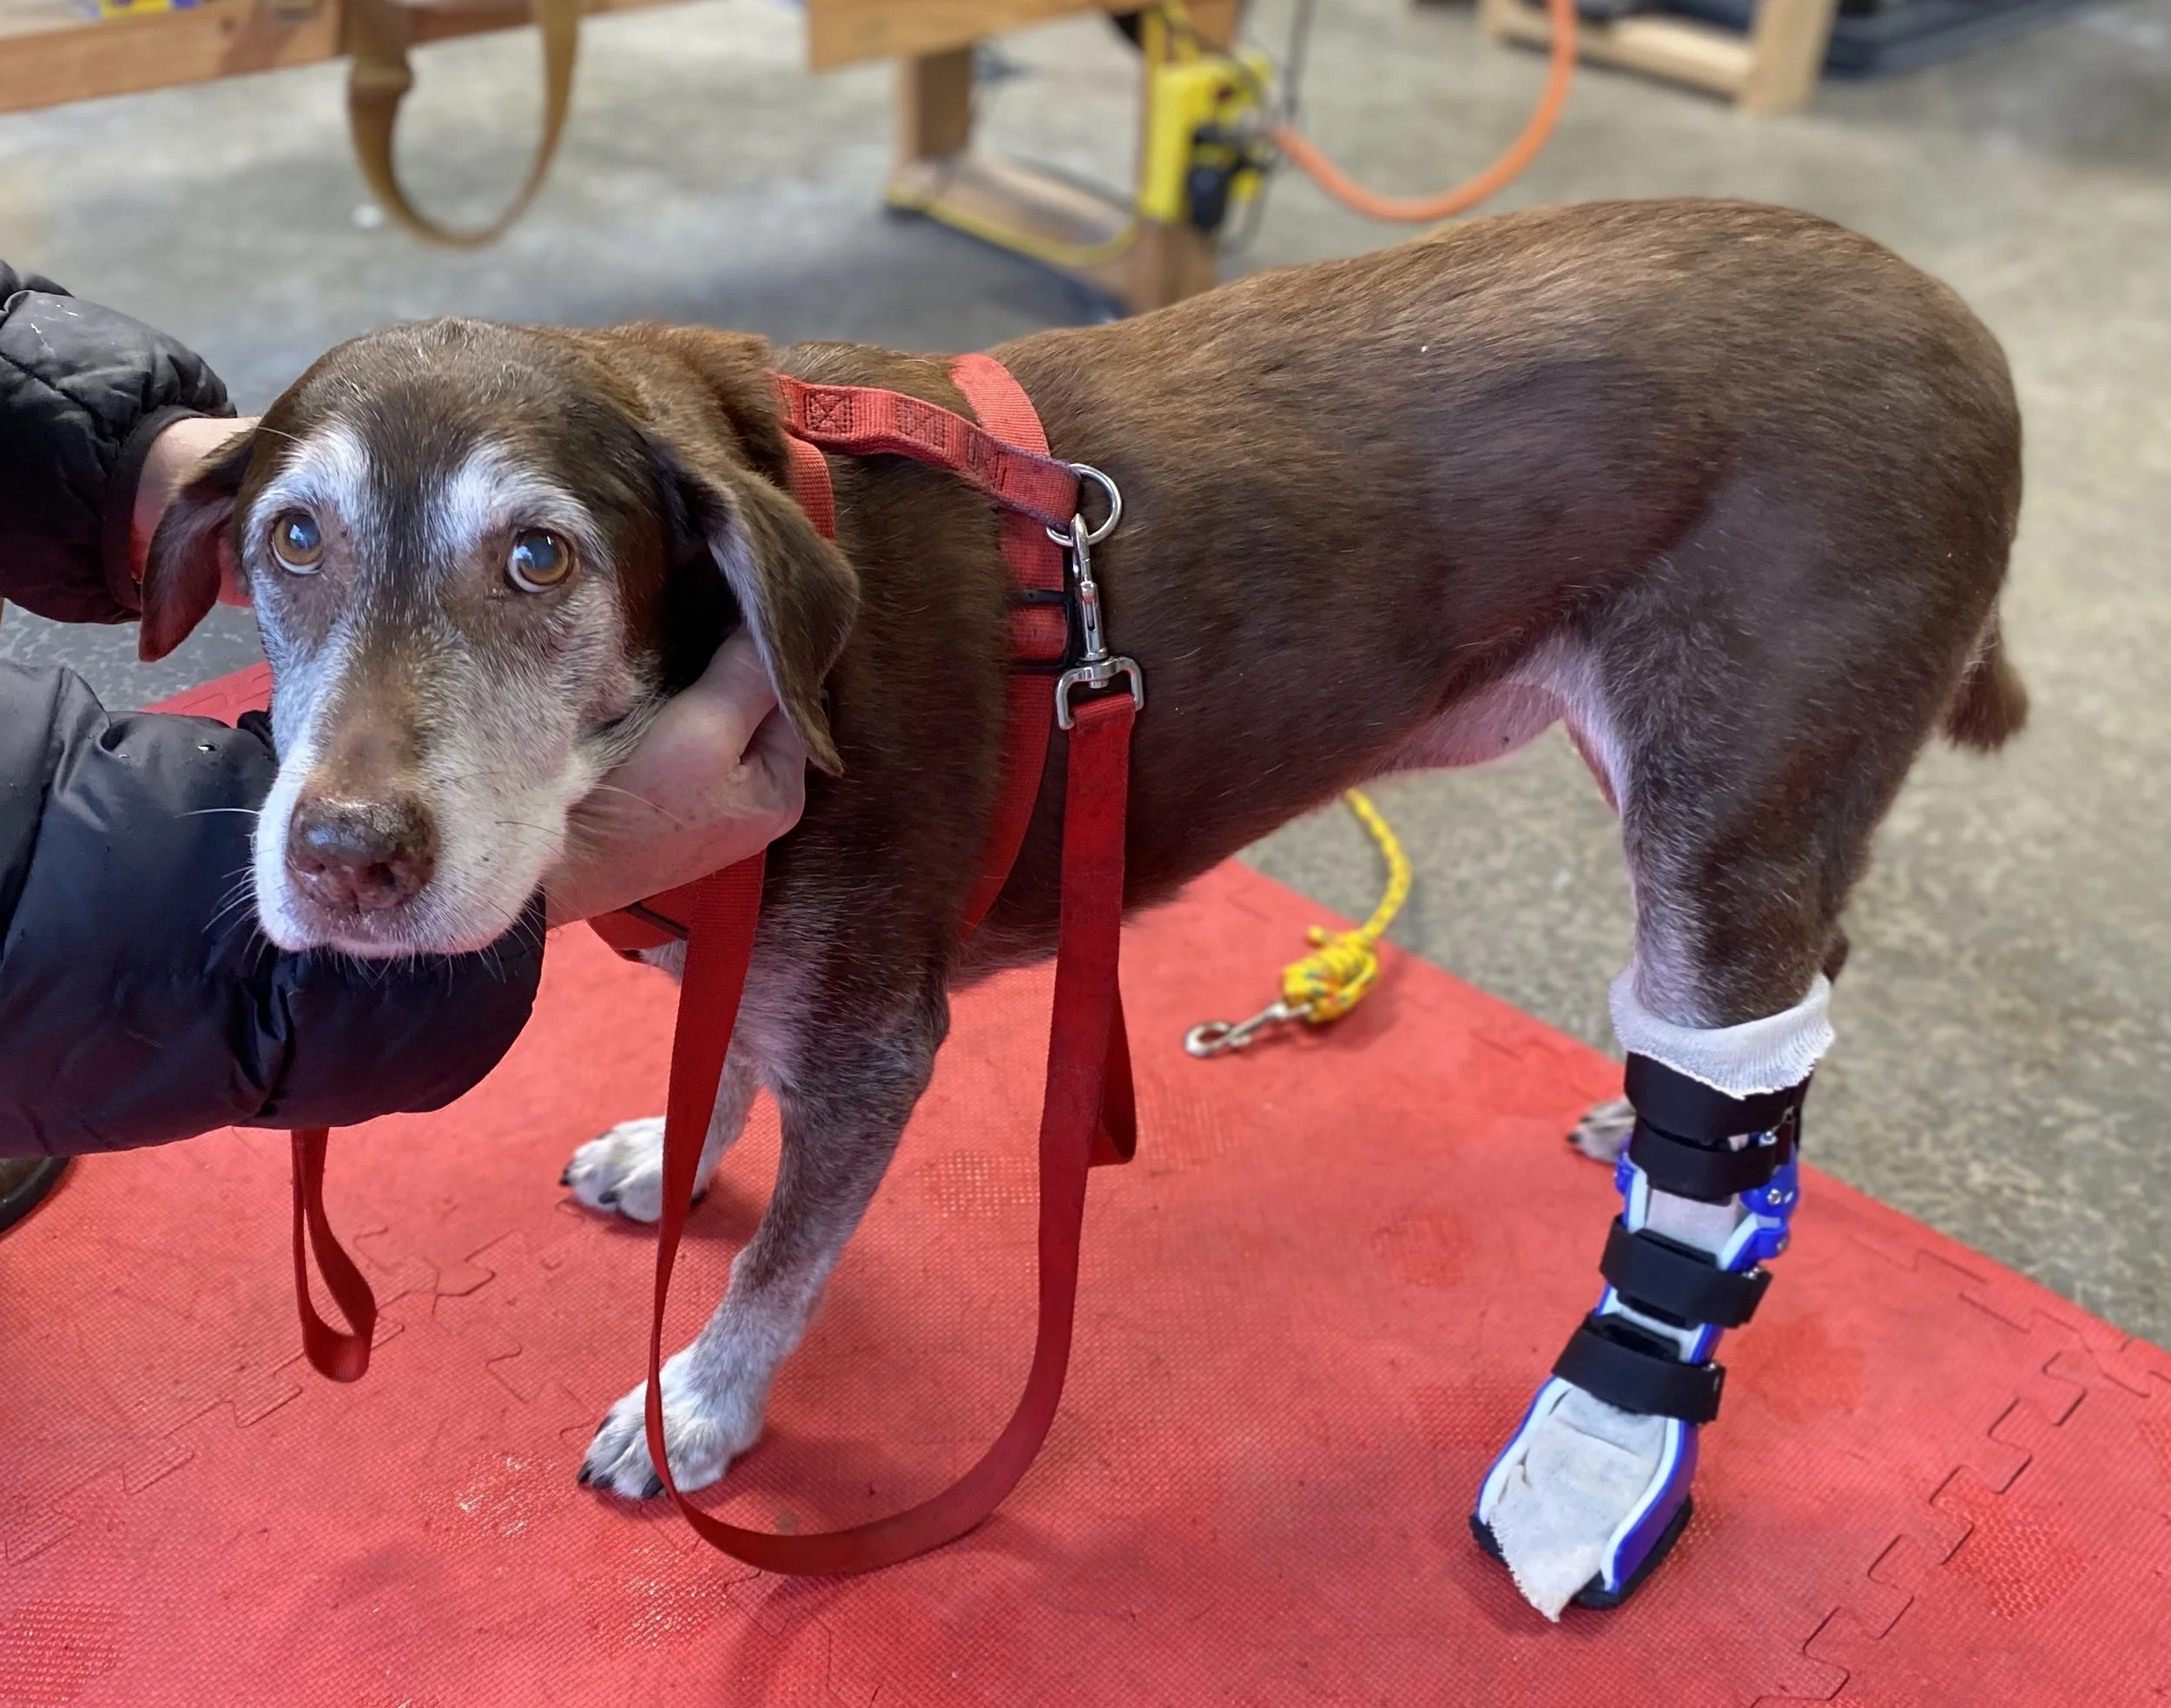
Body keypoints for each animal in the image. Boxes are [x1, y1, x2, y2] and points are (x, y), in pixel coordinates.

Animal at [144, 198, 2024, 1614]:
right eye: (291, 541)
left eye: (538, 560)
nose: (341, 855)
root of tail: (1959, 323)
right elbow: (719, 1068)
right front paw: (664, 1150)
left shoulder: (873, 1037)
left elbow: (778, 1259)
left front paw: (706, 1400)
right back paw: (1638, 1116)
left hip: (1724, 799)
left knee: (1741, 1024)